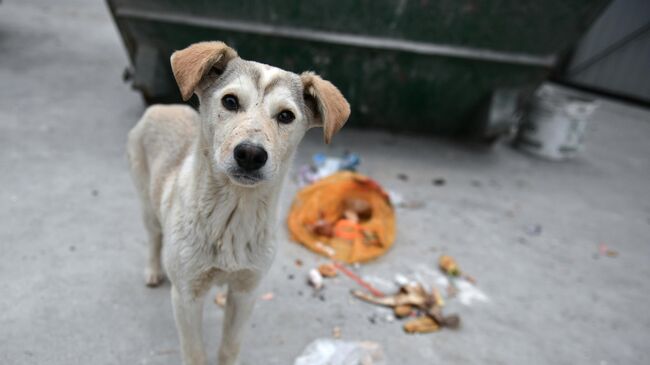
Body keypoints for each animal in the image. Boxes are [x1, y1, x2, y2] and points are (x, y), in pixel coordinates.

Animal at [126, 41, 350, 362]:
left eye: (286, 116)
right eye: (230, 101)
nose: (251, 155)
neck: (232, 214)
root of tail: (161, 106)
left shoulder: (246, 292)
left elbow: (230, 347)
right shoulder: (187, 296)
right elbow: (194, 353)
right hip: (146, 203)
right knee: (154, 238)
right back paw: (154, 270)